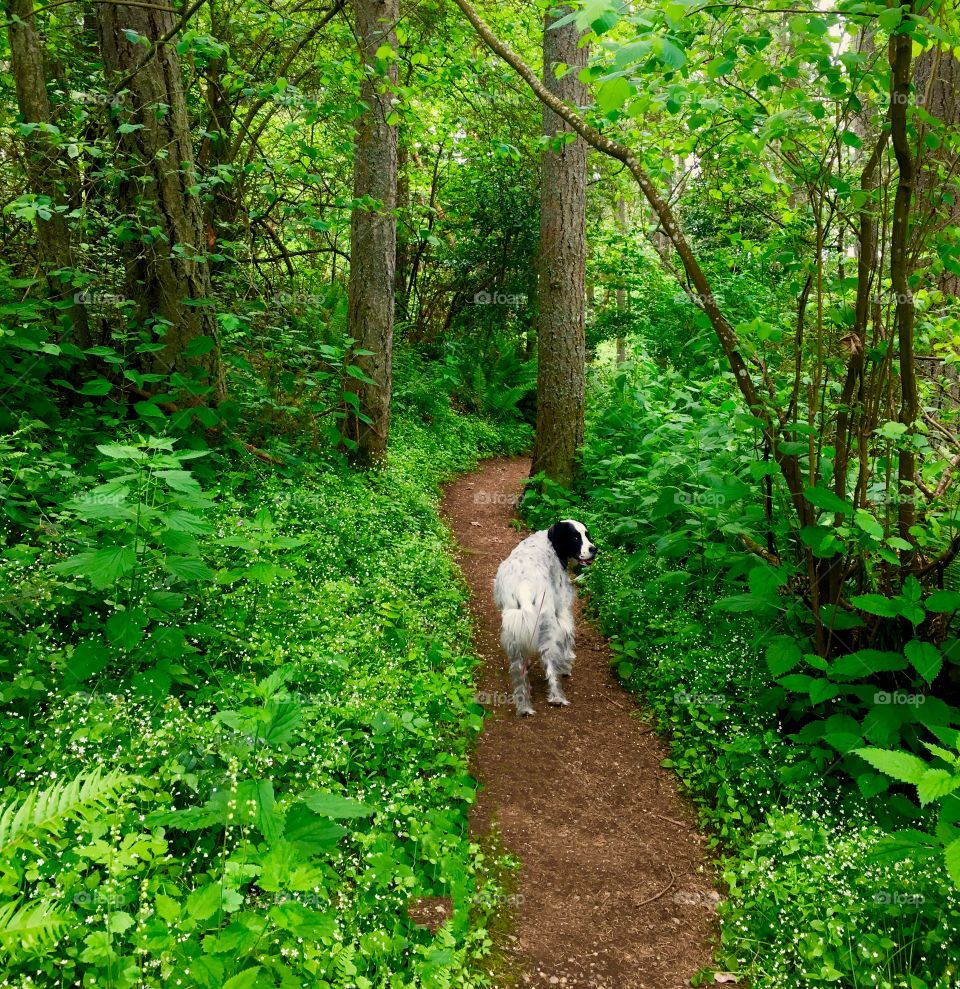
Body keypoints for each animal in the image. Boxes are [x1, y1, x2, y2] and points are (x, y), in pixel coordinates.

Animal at [496, 520, 592, 712]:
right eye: (575, 538)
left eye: (587, 534)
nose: (594, 549)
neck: (550, 541)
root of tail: (524, 588)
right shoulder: (562, 609)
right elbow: (567, 639)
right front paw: (567, 666)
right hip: (547, 627)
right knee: (550, 667)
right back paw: (557, 698)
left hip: (513, 633)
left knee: (518, 672)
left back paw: (524, 707)